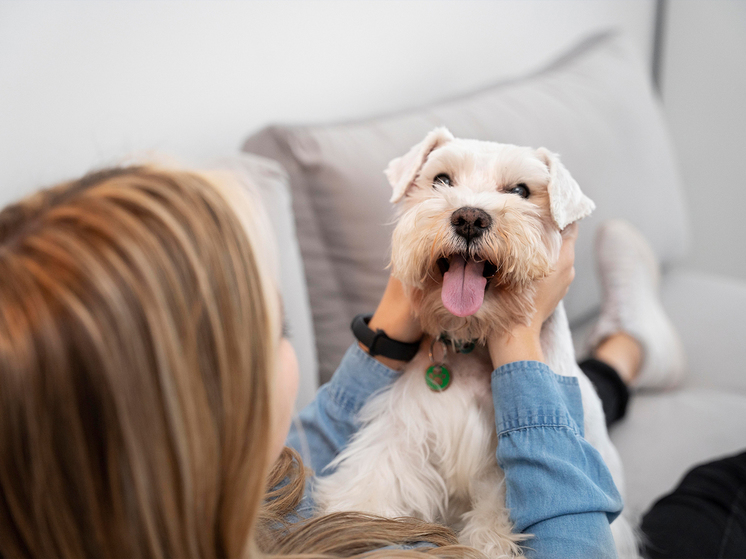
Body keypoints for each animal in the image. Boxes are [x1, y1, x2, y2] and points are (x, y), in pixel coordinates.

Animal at [312, 128, 632, 559]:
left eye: (520, 190)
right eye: (442, 179)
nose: (469, 217)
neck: (469, 337)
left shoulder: (497, 470)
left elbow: (495, 522)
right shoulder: (404, 427)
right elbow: (372, 480)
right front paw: (351, 525)